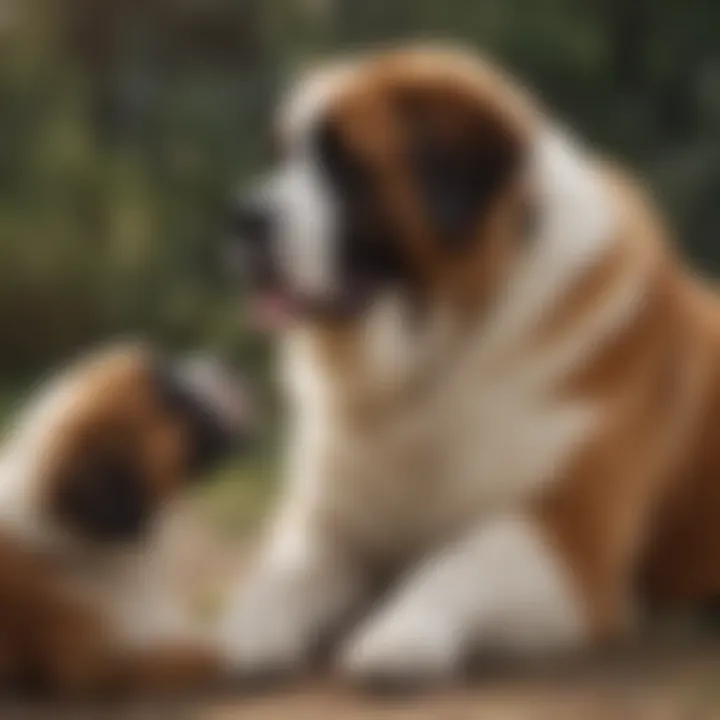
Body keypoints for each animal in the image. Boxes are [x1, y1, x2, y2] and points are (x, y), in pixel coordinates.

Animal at [221, 46, 720, 688]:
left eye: (347, 167)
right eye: (282, 158)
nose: (244, 217)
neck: (437, 357)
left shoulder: (569, 546)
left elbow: (455, 562)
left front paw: (396, 637)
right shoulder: (331, 524)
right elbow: (282, 572)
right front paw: (246, 633)